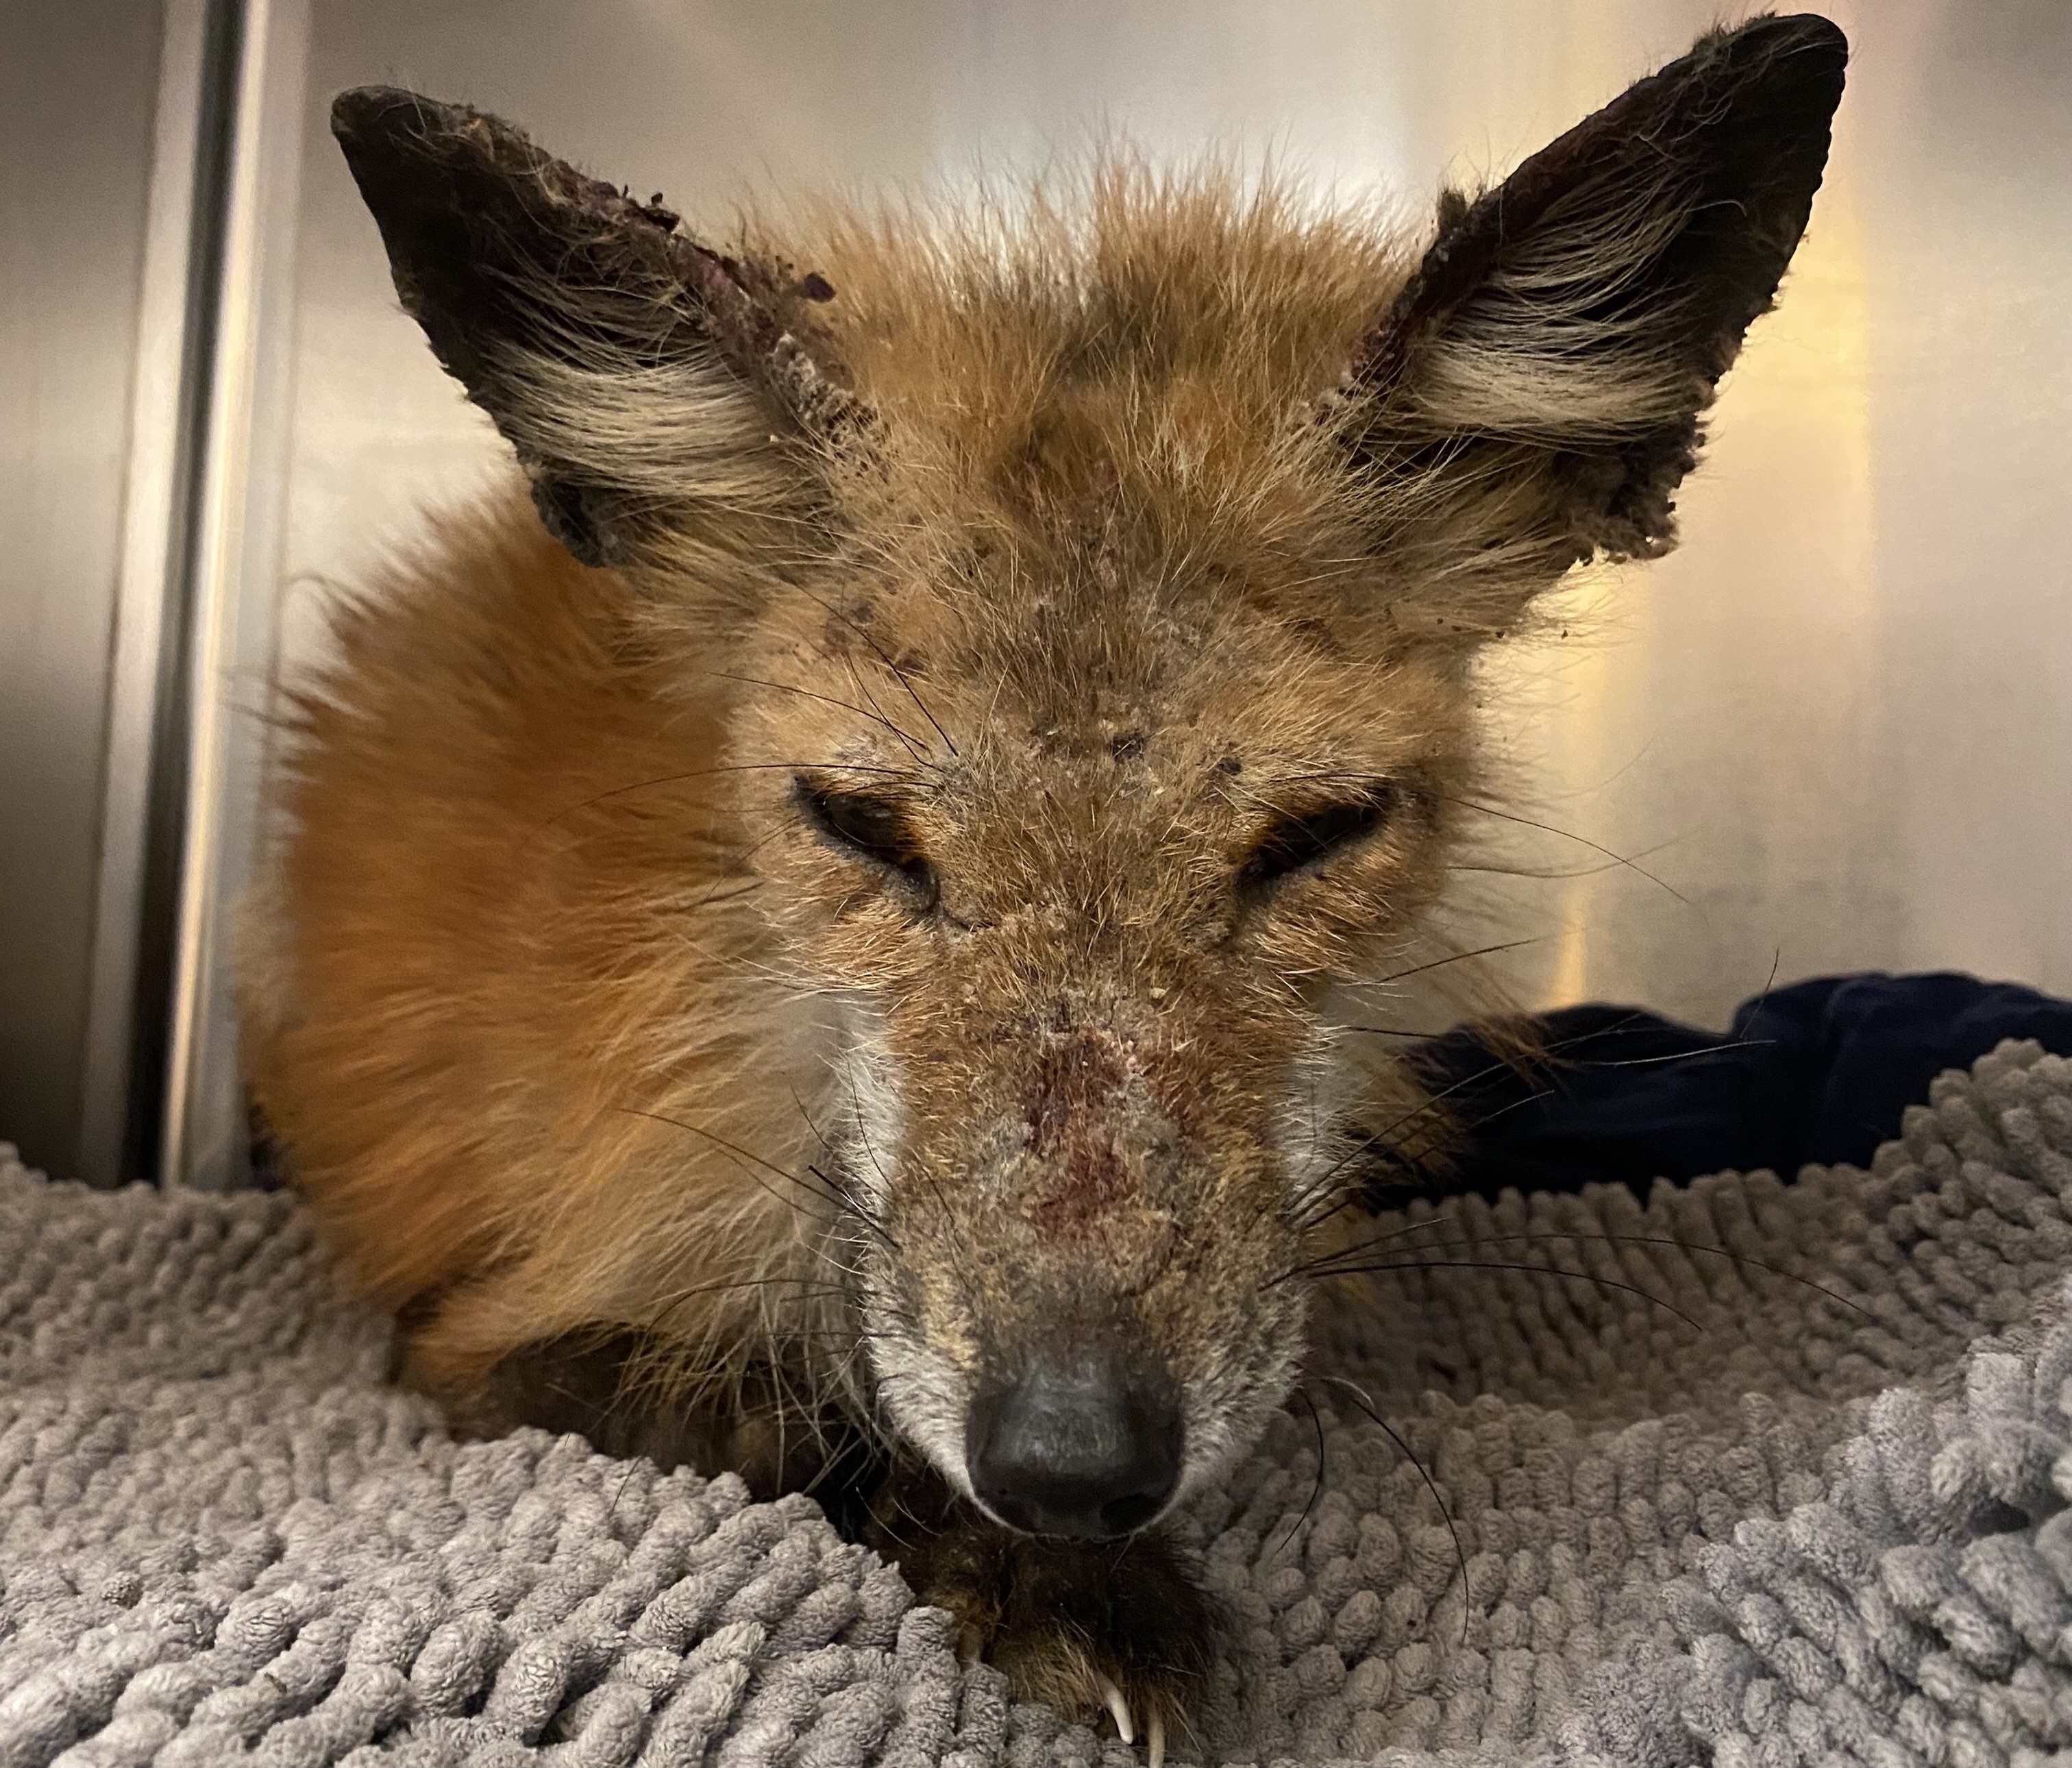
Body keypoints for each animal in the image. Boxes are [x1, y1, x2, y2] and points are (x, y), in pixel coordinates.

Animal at [243, 13, 1847, 1753]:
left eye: (1321, 833)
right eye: (859, 826)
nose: (1073, 1457)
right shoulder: (472, 1339)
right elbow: (785, 1427)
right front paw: (1057, 1591)